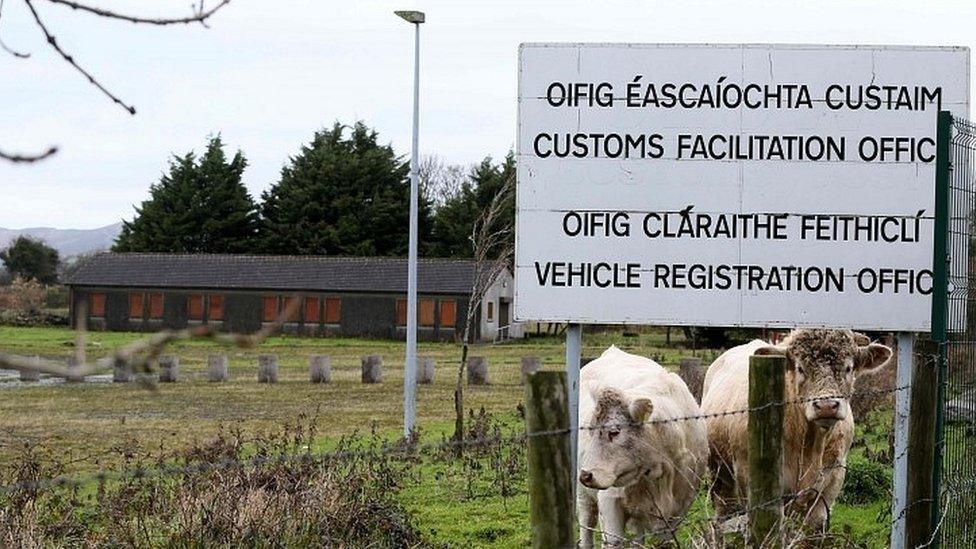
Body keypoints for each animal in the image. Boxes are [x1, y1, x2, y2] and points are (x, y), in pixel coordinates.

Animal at [580, 344, 708, 544]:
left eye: (614, 432)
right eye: (590, 430)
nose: (585, 475)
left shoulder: (680, 508)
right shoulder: (609, 501)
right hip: (584, 497)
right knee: (586, 525)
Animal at [700, 328, 892, 528]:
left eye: (848, 368)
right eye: (800, 368)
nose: (826, 406)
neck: (809, 444)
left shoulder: (832, 481)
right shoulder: (750, 479)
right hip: (719, 473)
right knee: (724, 508)